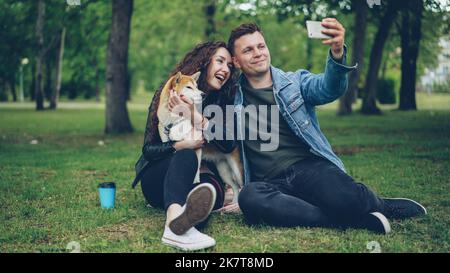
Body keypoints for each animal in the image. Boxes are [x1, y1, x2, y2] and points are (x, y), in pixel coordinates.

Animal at [157, 71, 243, 203]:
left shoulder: (196, 144)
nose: (203, 94)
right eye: (189, 87)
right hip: (223, 169)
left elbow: (196, 166)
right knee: (235, 186)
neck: (176, 117)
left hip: (237, 169)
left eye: (197, 87)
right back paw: (234, 202)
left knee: (242, 184)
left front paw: (196, 181)